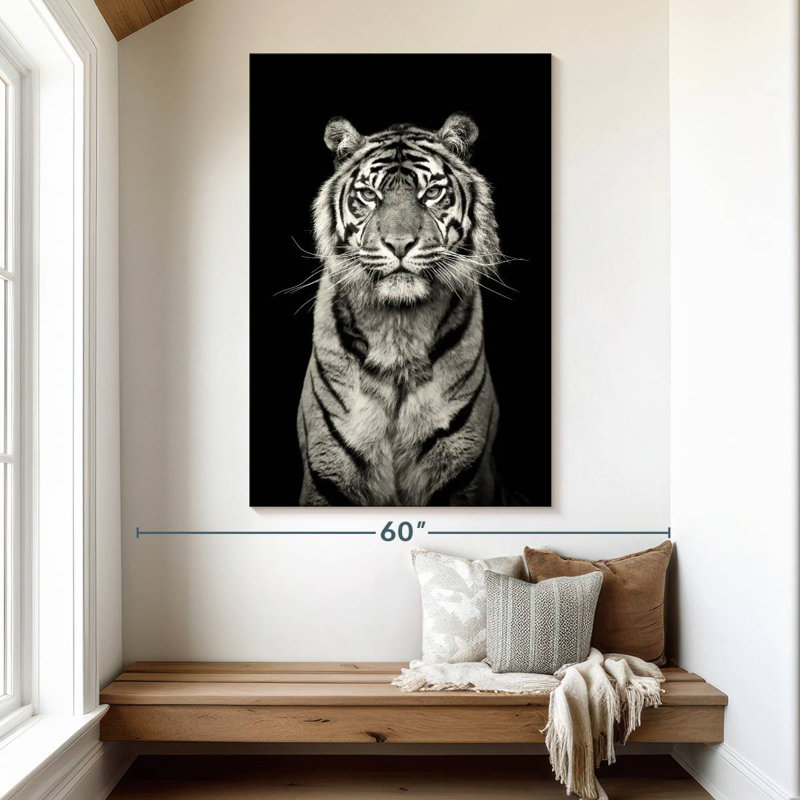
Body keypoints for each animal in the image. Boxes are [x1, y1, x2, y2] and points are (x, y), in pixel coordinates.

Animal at [296, 112, 507, 506]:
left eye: (432, 193)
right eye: (369, 195)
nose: (398, 244)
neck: (399, 329)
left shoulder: (463, 471)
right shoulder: (327, 470)